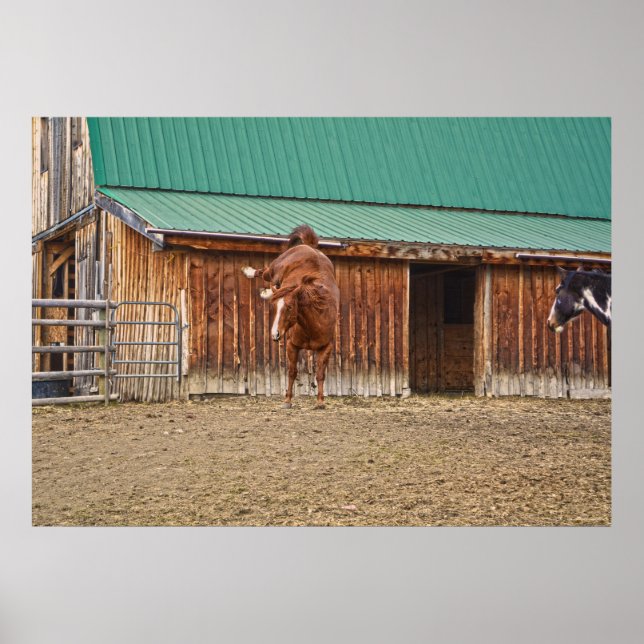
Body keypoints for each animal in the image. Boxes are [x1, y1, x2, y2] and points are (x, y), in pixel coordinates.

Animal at [241, 225, 340, 409]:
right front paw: (287, 400)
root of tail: (307, 246)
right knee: (264, 273)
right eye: (273, 308)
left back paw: (266, 291)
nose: (275, 334)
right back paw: (249, 272)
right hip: (274, 270)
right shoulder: (292, 346)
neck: (313, 324)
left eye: (290, 307)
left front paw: (320, 401)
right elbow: (292, 372)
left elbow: (320, 374)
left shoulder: (326, 347)